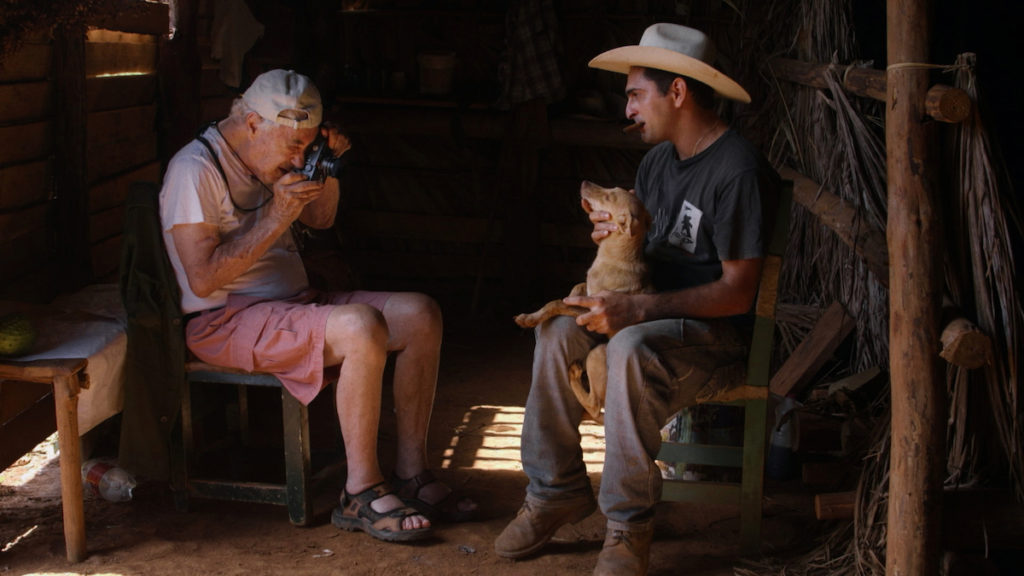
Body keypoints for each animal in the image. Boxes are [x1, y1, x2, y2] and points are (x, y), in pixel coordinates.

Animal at [516, 180, 651, 422]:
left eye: (609, 197)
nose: (584, 182)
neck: (615, 254)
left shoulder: (593, 312)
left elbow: (555, 303)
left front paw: (528, 318)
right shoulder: (586, 292)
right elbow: (576, 288)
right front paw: (571, 293)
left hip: (597, 355)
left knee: (595, 406)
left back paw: (574, 376)